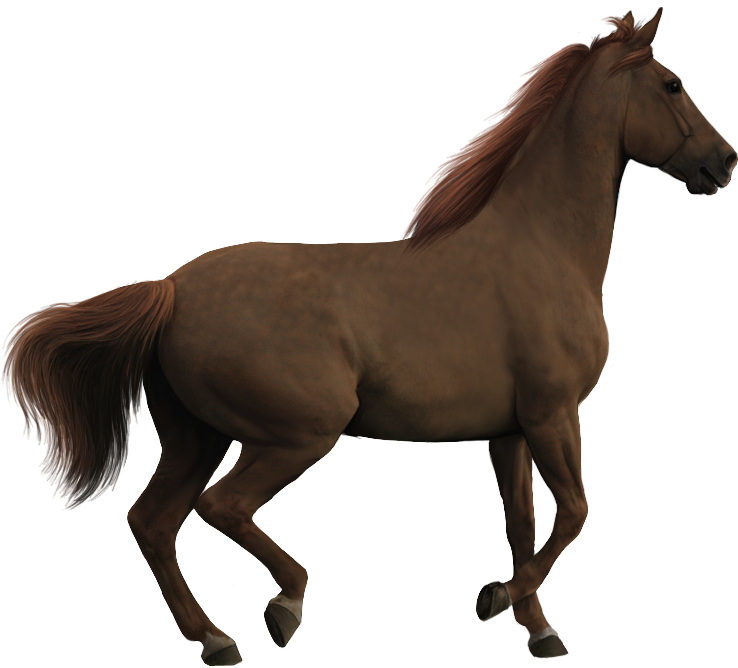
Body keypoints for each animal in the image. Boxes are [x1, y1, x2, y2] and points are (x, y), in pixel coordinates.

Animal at [3, 7, 733, 664]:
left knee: (152, 522)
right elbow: (576, 512)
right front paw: (495, 599)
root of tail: (173, 289)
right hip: (298, 434)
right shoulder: (554, 416)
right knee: (221, 507)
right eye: (672, 84)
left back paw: (215, 640)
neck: (544, 246)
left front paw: (539, 631)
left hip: (196, 437)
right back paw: (283, 607)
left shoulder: (511, 430)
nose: (725, 162)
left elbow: (524, 526)